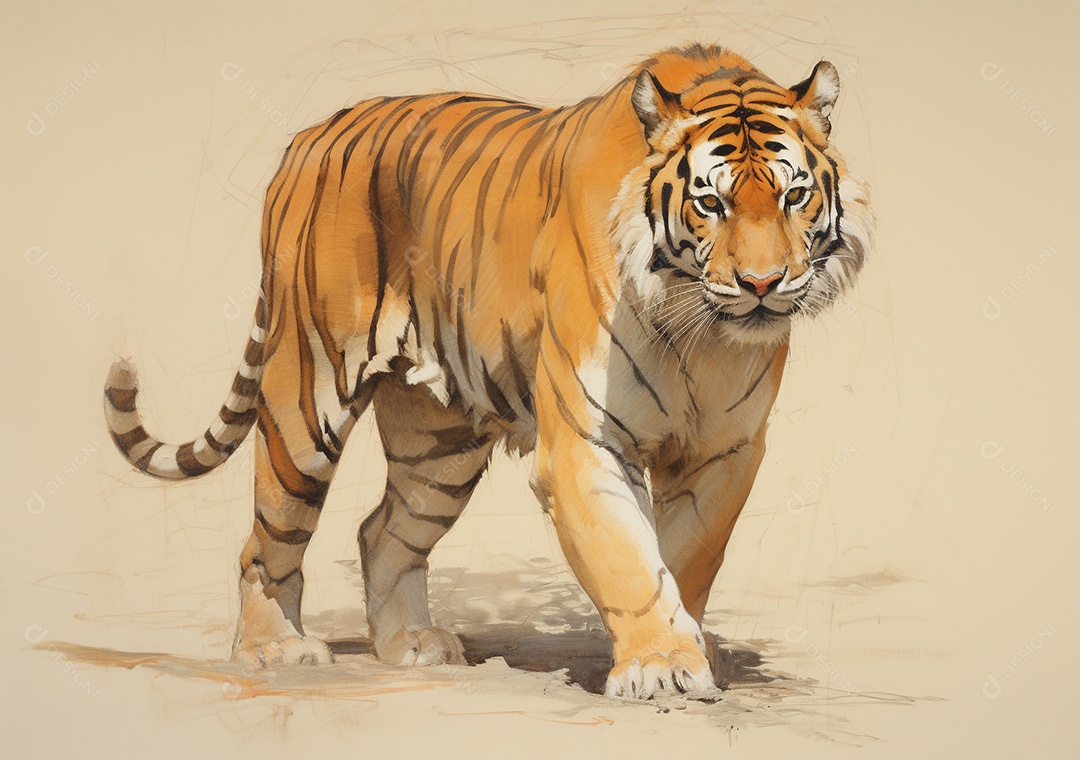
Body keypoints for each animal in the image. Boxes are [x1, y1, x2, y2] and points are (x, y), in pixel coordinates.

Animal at [104, 43, 871, 700]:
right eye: (711, 203)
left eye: (793, 196)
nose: (763, 284)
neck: (700, 328)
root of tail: (309, 137)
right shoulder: (586, 441)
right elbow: (630, 557)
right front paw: (660, 667)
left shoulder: (725, 451)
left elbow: (685, 559)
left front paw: (683, 652)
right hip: (305, 397)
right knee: (268, 538)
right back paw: (275, 649)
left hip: (439, 444)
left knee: (382, 530)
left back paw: (410, 645)